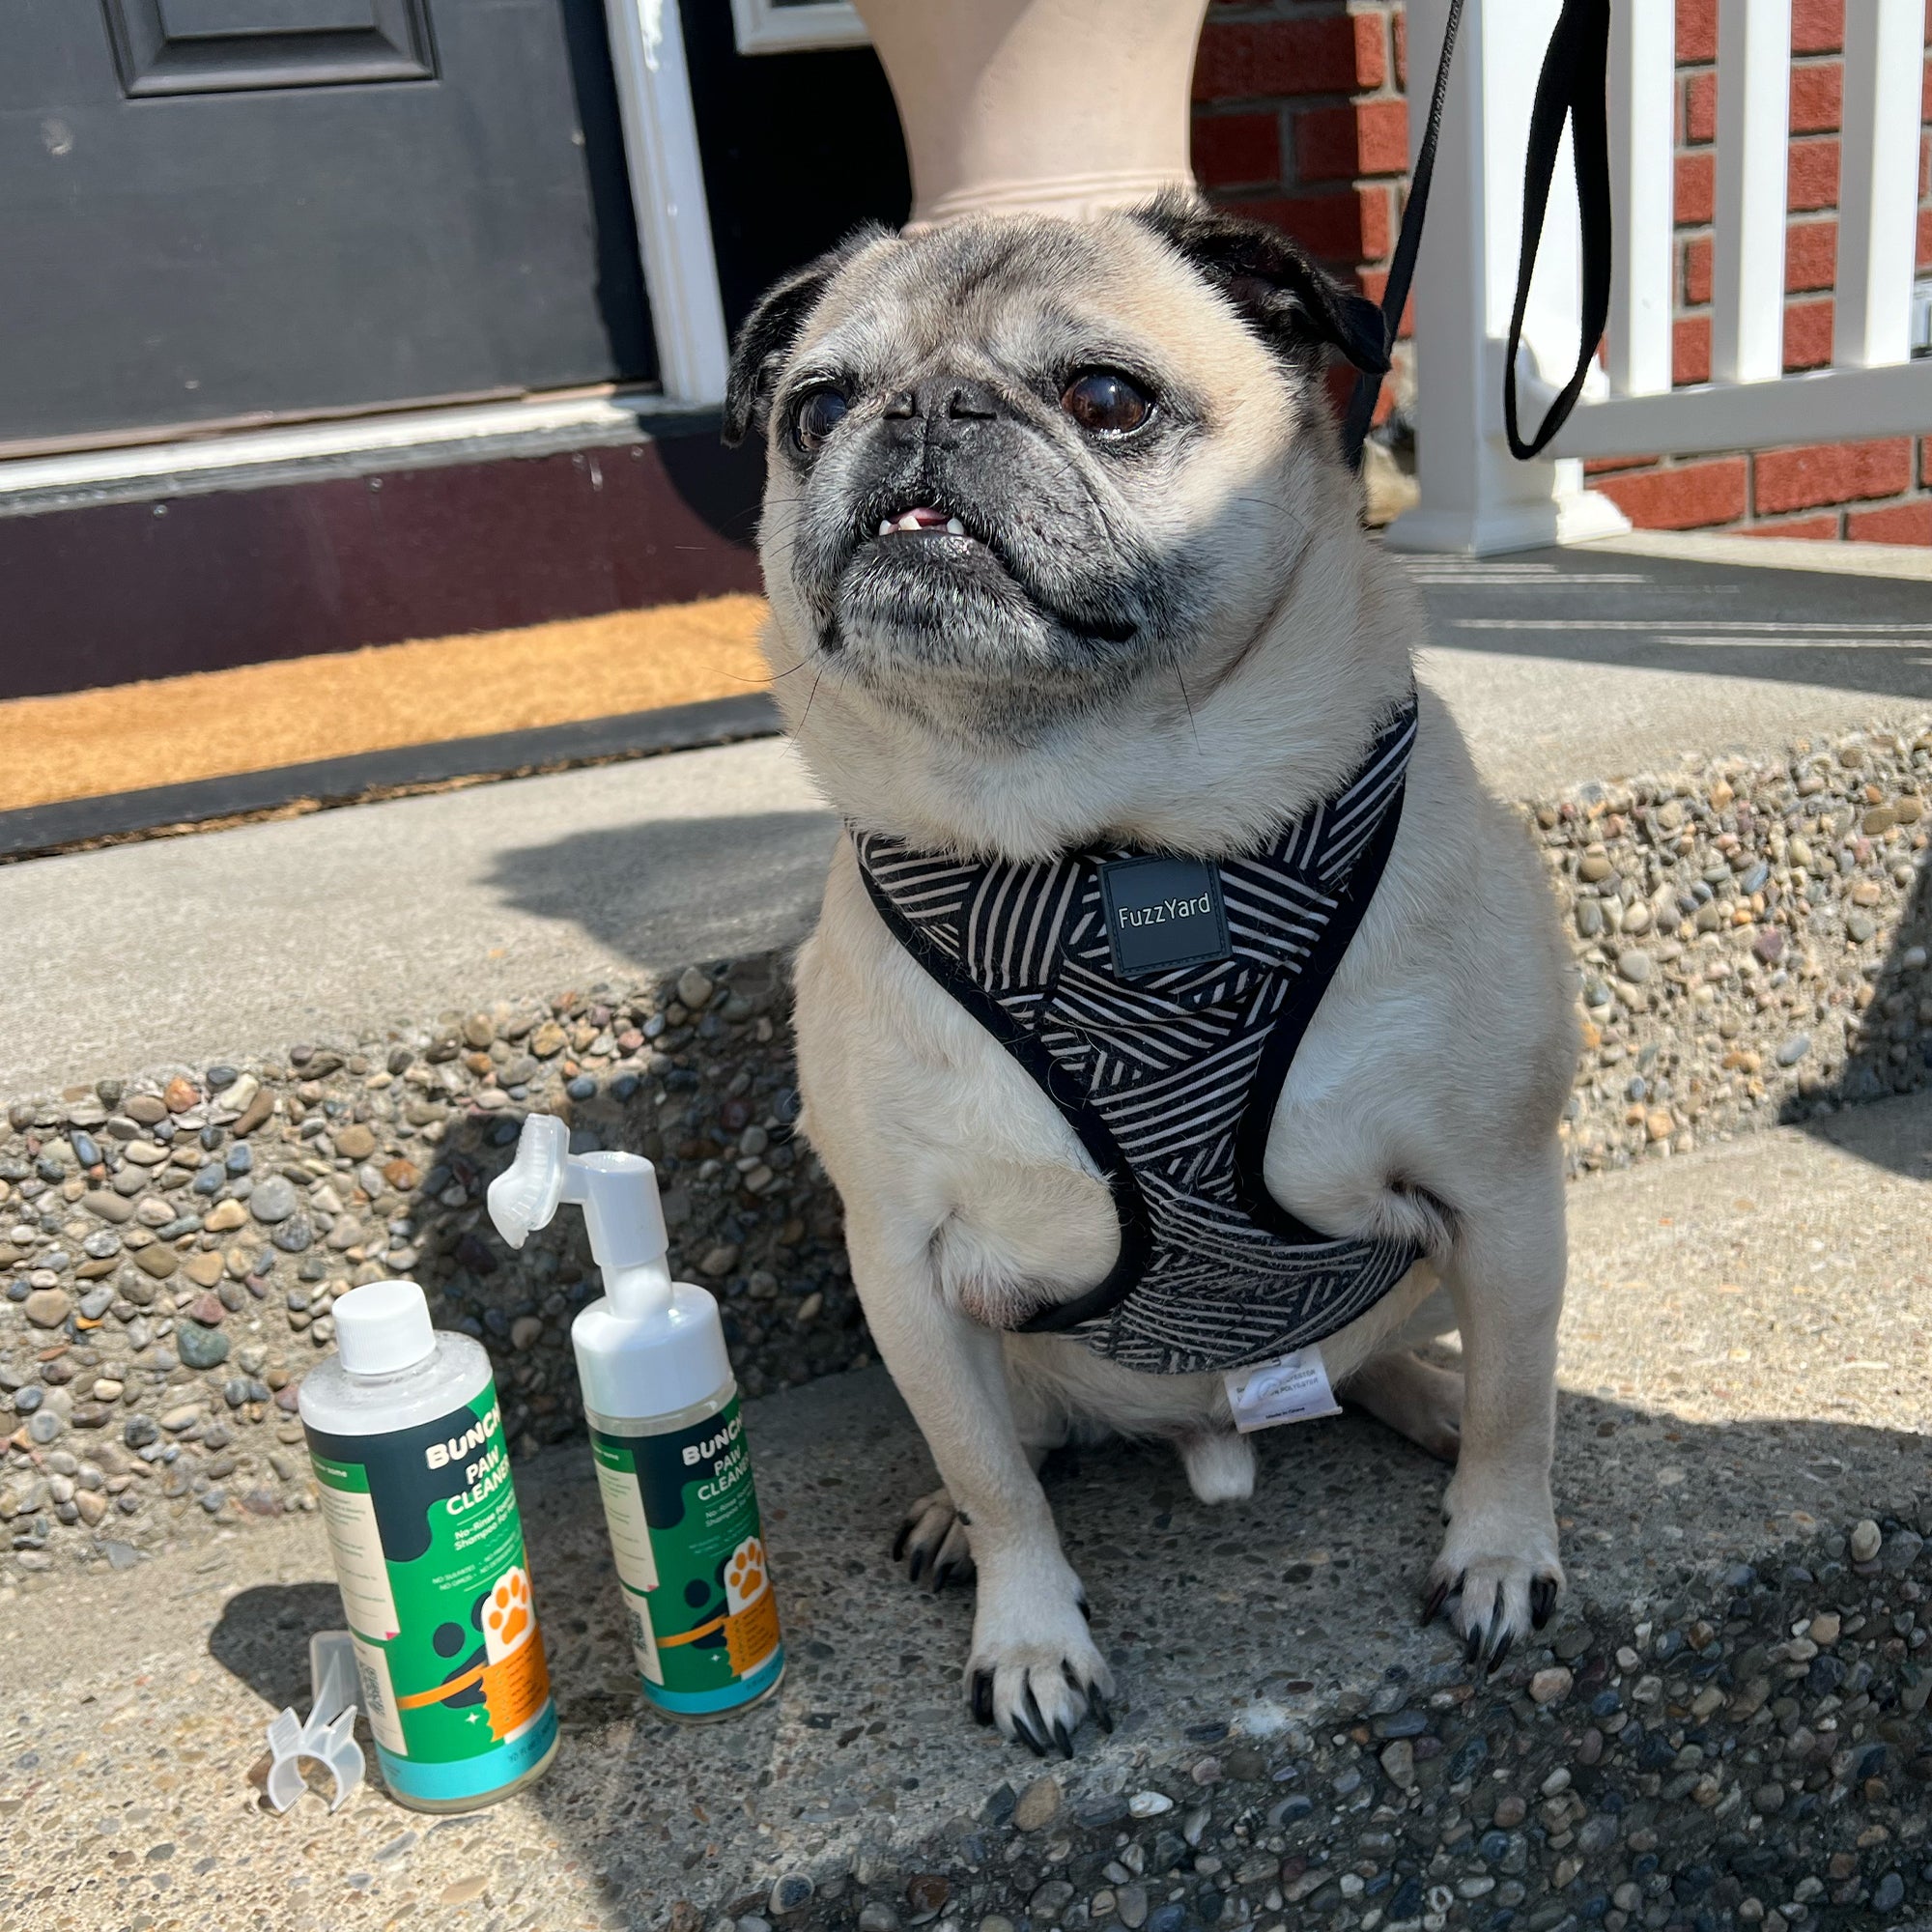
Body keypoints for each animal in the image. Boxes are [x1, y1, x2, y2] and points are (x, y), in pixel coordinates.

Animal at [722, 197, 1577, 1756]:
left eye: (1106, 398)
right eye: (815, 411)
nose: (924, 409)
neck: (1099, 843)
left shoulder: (1499, 1186)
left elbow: (1519, 1409)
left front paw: (1497, 1547)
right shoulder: (903, 1263)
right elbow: (997, 1481)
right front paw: (1028, 1633)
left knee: (1434, 1358)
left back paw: (1426, 1395)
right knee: (1016, 1442)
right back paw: (955, 1521)